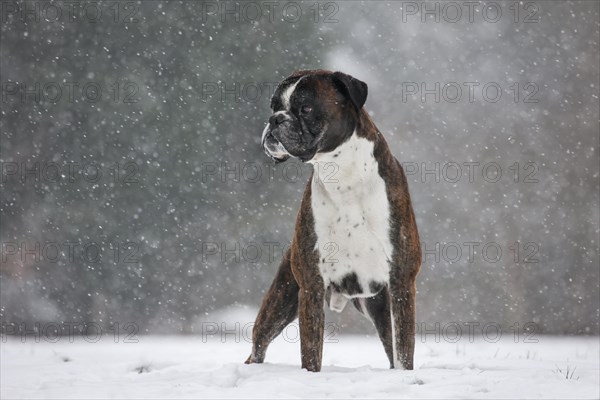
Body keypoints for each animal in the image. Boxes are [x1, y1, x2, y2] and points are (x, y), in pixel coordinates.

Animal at [244, 69, 422, 372]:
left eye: (305, 108)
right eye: (273, 106)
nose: (274, 119)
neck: (343, 176)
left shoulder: (401, 283)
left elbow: (403, 353)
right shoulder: (311, 287)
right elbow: (311, 351)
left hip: (381, 307)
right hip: (279, 302)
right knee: (258, 347)